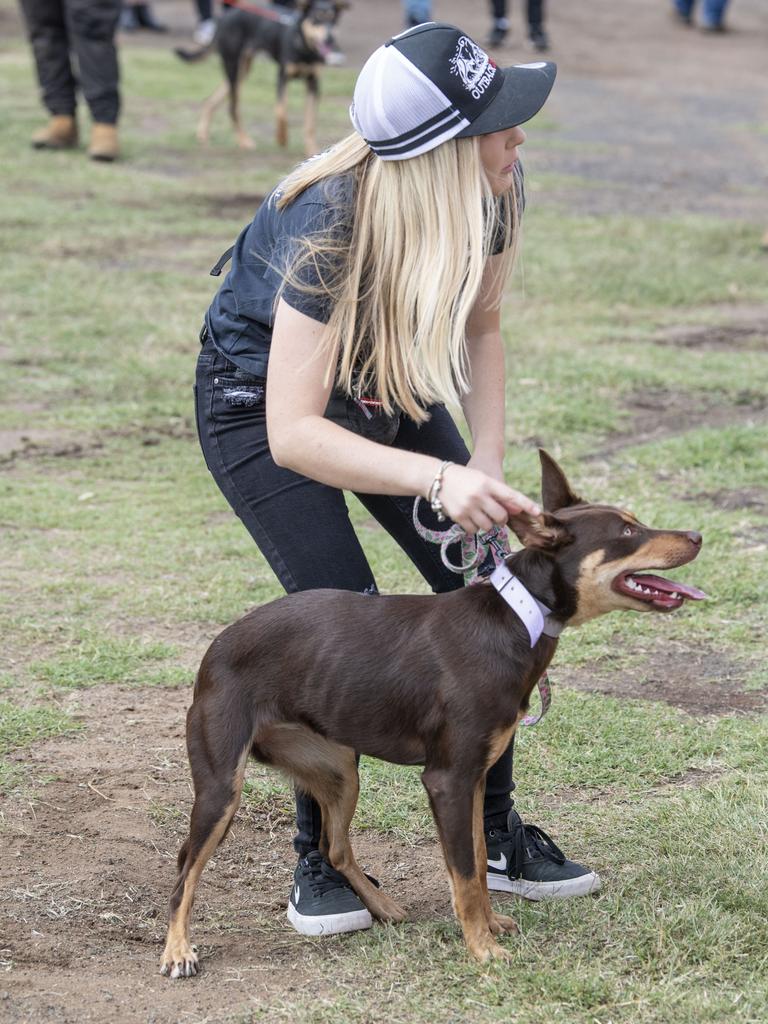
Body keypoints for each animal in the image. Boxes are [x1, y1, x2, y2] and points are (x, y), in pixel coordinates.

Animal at [159, 450, 708, 974]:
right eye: (628, 532)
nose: (699, 535)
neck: (517, 615)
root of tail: (214, 649)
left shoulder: (475, 777)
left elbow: (480, 859)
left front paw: (490, 925)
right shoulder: (447, 779)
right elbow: (462, 873)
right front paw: (482, 950)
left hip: (338, 771)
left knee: (336, 847)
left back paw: (381, 906)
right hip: (222, 788)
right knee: (187, 868)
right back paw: (177, 949)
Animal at [176, 0, 348, 155]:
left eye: (333, 20)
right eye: (316, 18)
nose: (330, 39)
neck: (305, 48)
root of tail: (224, 16)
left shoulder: (314, 83)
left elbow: (310, 122)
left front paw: (312, 150)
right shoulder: (282, 77)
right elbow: (281, 111)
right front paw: (281, 138)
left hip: (242, 71)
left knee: (210, 100)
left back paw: (203, 133)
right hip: (233, 66)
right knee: (233, 107)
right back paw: (243, 140)